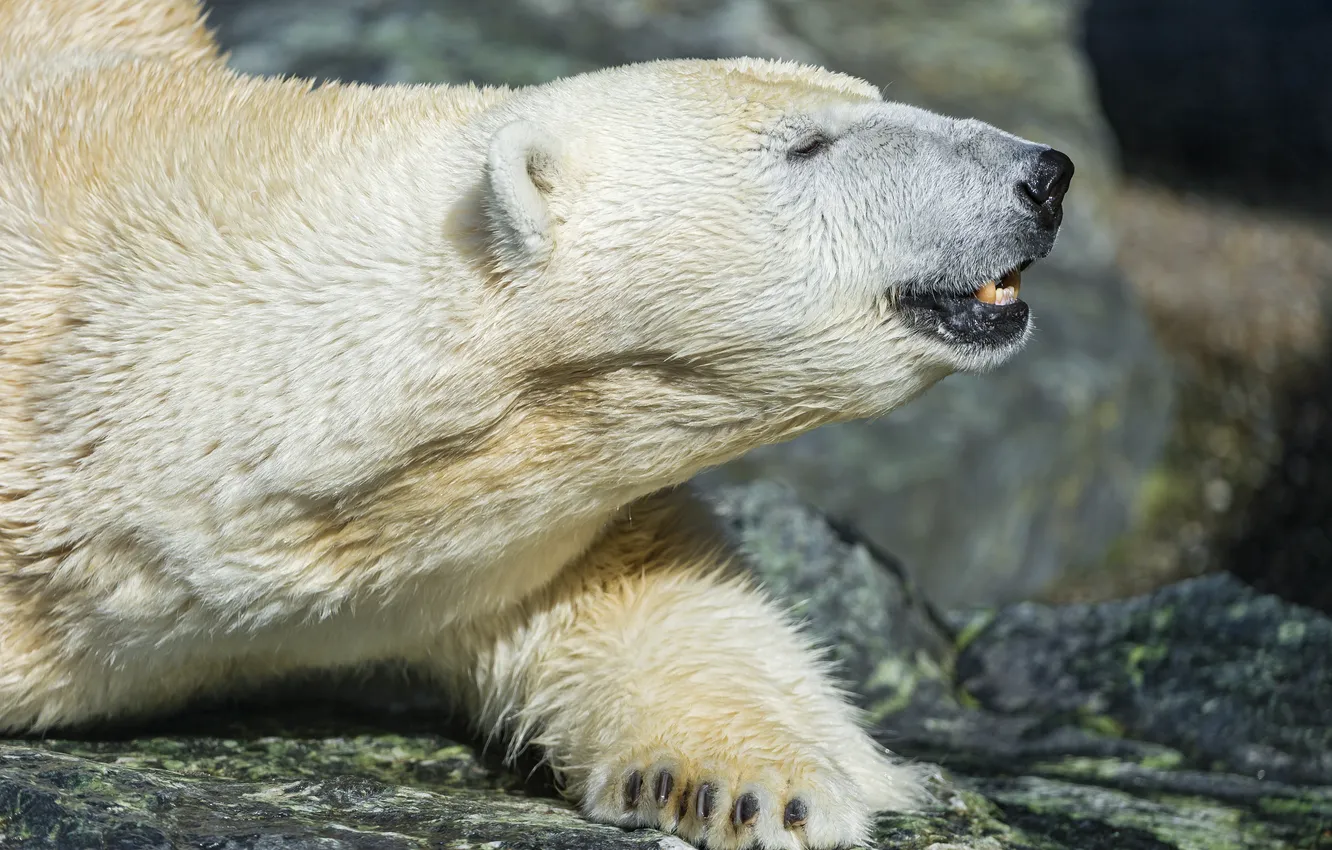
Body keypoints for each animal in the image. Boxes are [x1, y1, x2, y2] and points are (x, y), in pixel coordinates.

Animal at [0, 1, 1073, 847]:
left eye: (871, 95)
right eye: (808, 144)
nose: (1045, 174)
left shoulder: (493, 537)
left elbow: (644, 594)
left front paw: (768, 786)